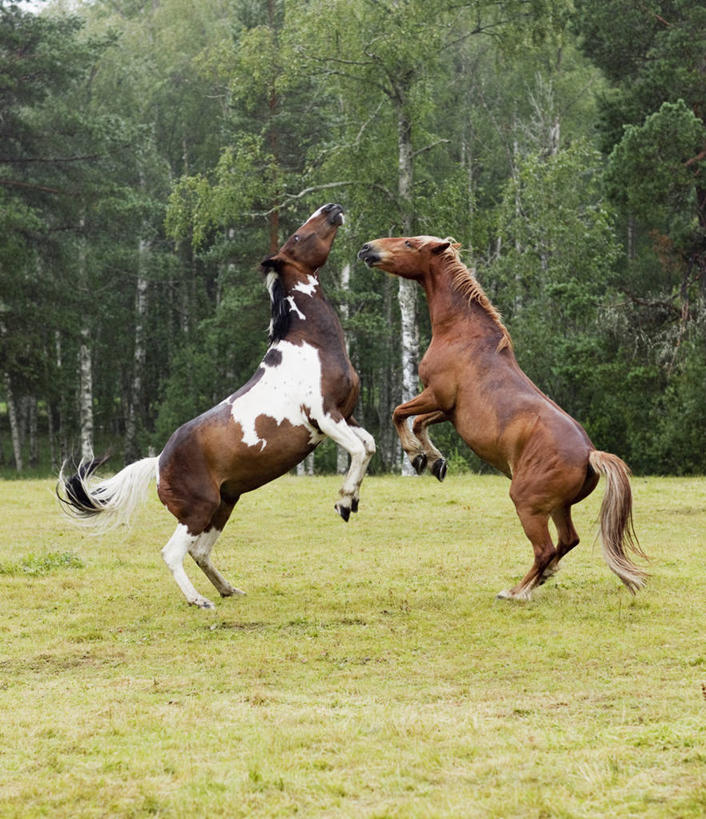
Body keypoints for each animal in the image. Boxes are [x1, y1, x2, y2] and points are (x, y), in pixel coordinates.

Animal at [59, 205, 374, 608]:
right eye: (297, 236)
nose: (331, 209)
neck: (310, 344)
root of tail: (158, 463)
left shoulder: (346, 415)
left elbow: (368, 446)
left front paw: (353, 500)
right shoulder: (324, 418)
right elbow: (358, 450)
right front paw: (344, 502)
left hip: (223, 506)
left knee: (200, 552)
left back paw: (228, 589)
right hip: (200, 510)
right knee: (173, 552)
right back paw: (199, 600)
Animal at [360, 237, 648, 604]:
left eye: (410, 243)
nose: (367, 248)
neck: (462, 334)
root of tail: (589, 454)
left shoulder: (437, 395)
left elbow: (400, 413)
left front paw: (417, 456)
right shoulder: (449, 409)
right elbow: (419, 422)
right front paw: (435, 461)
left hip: (527, 503)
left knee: (545, 549)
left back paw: (516, 591)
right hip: (558, 507)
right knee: (567, 541)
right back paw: (538, 580)